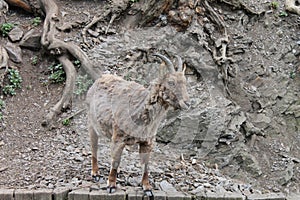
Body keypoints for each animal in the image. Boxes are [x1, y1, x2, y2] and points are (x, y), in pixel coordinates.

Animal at [86, 53, 190, 195]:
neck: (141, 113)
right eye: (171, 82)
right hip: (92, 124)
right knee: (94, 148)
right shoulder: (119, 138)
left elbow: (145, 166)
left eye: (185, 82)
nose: (187, 103)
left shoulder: (147, 142)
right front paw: (111, 185)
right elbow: (116, 161)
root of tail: (97, 81)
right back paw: (95, 173)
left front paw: (147, 188)